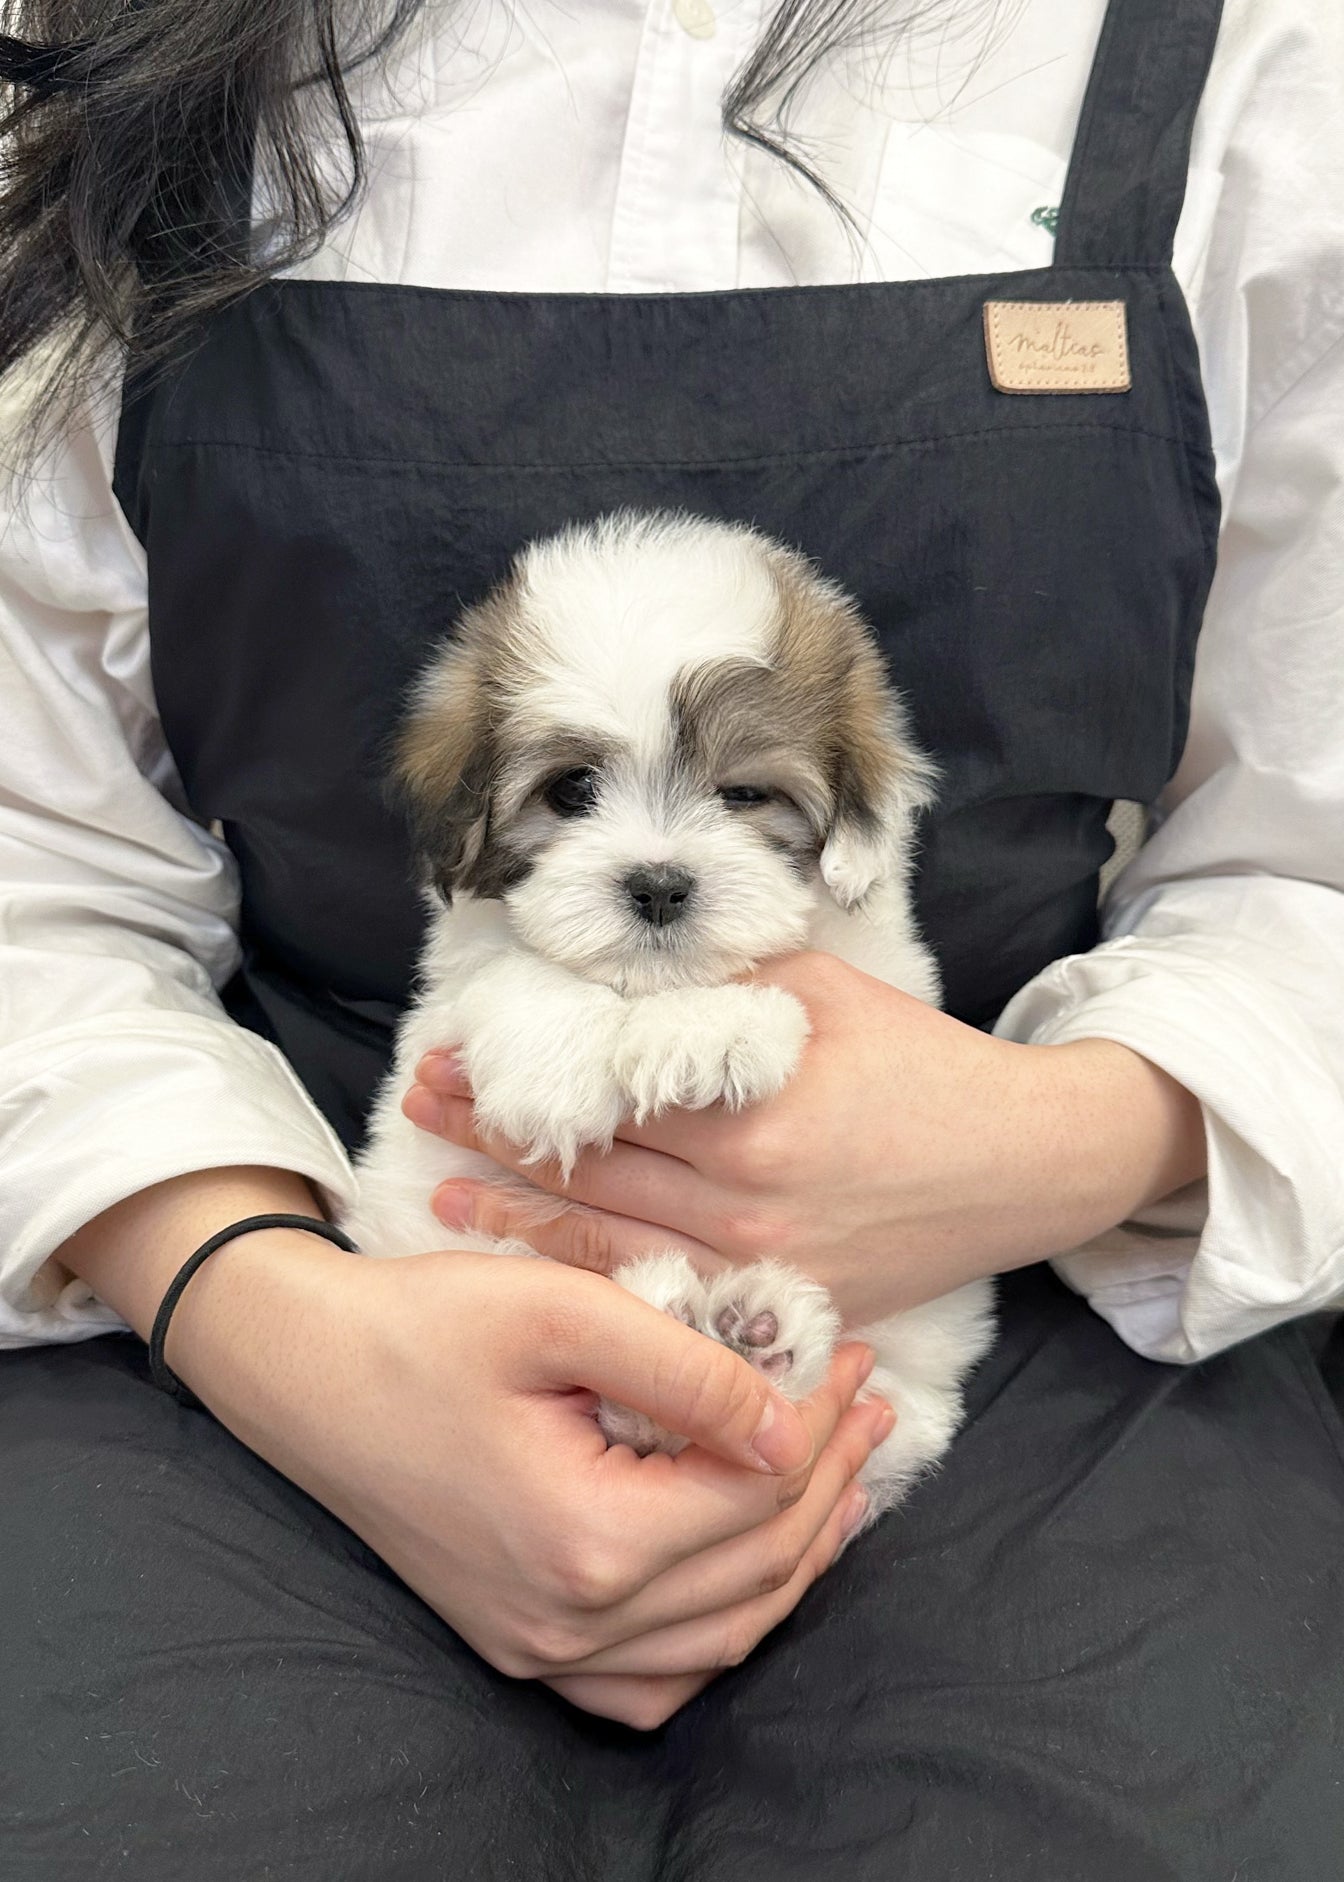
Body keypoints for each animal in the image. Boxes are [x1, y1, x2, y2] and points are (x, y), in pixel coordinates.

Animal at [342, 515, 993, 1528]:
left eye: (743, 794)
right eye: (570, 791)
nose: (657, 884)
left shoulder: (875, 962)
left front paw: (702, 1031)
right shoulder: (455, 974)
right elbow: (508, 968)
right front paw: (555, 1068)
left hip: (901, 1378)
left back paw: (753, 1336)